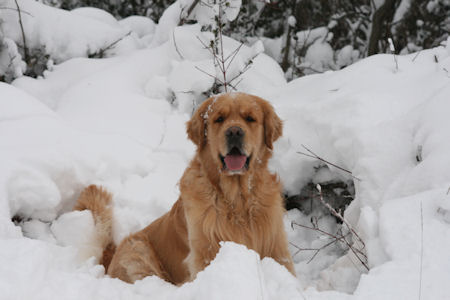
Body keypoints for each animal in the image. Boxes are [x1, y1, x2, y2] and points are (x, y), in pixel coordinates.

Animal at [74, 92, 296, 284]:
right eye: (219, 119)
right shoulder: (206, 252)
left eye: (250, 118)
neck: (237, 199)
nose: (234, 131)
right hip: (137, 250)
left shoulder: (277, 249)